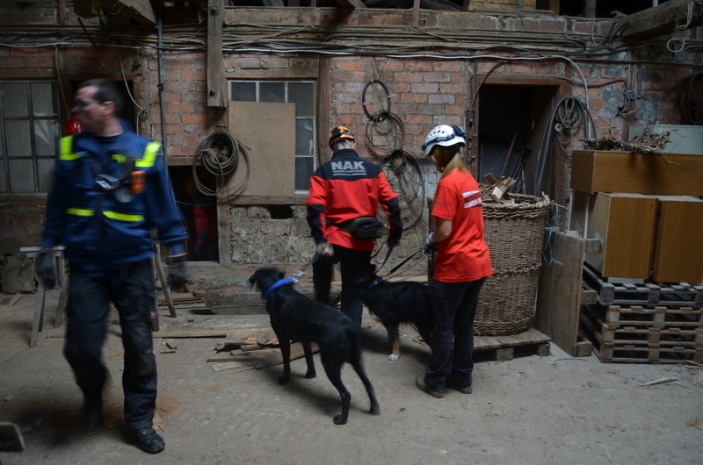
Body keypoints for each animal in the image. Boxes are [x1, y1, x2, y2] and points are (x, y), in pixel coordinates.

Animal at [248, 264, 380, 424]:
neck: (278, 289)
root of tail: (349, 327)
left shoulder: (283, 338)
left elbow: (286, 362)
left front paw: (285, 379)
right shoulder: (305, 339)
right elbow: (309, 358)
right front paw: (310, 374)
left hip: (330, 364)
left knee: (346, 394)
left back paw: (342, 419)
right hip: (356, 360)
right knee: (368, 384)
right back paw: (374, 408)